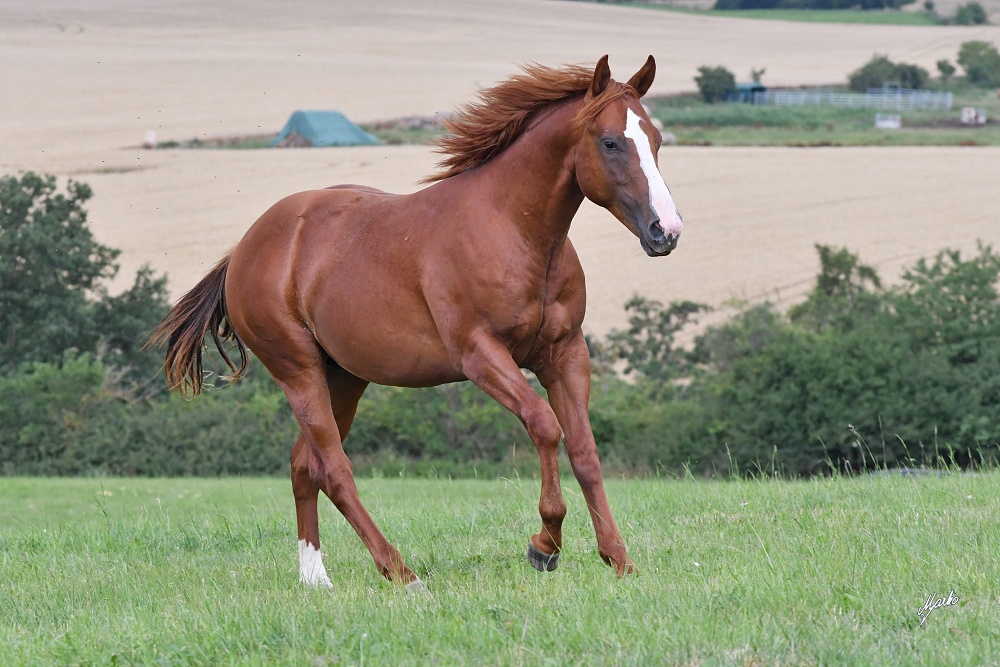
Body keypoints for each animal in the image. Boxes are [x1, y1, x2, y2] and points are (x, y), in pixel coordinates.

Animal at [154, 56, 680, 588]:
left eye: (656, 139)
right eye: (610, 142)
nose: (666, 231)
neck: (514, 230)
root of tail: (244, 248)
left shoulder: (565, 354)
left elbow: (586, 452)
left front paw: (619, 560)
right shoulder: (480, 356)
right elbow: (545, 426)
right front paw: (544, 545)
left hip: (344, 377)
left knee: (305, 464)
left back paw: (316, 578)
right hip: (298, 371)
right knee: (334, 469)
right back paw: (400, 572)